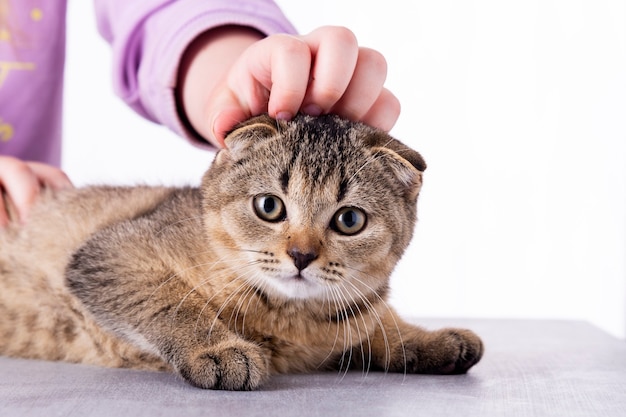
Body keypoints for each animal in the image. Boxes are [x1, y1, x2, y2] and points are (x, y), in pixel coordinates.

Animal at [0, 114, 482, 390]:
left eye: (349, 220)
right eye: (269, 206)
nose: (301, 256)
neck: (290, 318)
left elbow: (377, 326)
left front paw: (430, 338)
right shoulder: (108, 253)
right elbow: (172, 301)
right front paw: (217, 349)